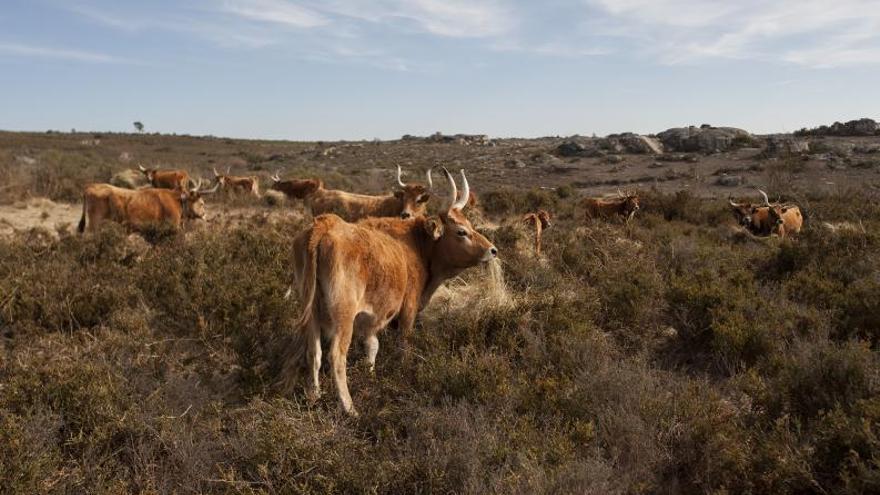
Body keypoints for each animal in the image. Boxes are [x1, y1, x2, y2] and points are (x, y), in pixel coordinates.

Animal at [286, 169, 498, 416]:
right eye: (461, 232)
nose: (492, 250)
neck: (417, 244)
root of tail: (324, 225)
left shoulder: (370, 320)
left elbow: (372, 347)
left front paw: (369, 375)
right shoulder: (408, 310)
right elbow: (402, 346)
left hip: (310, 310)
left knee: (314, 351)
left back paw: (314, 396)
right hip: (343, 314)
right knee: (336, 355)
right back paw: (349, 407)